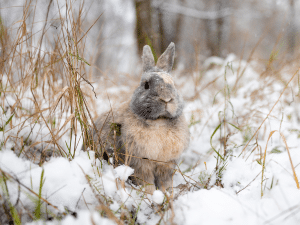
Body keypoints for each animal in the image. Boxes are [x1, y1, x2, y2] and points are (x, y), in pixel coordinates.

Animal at [91, 42, 190, 193]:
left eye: (173, 84)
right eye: (146, 85)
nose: (167, 99)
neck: (159, 121)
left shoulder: (166, 165)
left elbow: (165, 182)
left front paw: (167, 193)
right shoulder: (140, 163)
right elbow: (146, 181)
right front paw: (150, 194)